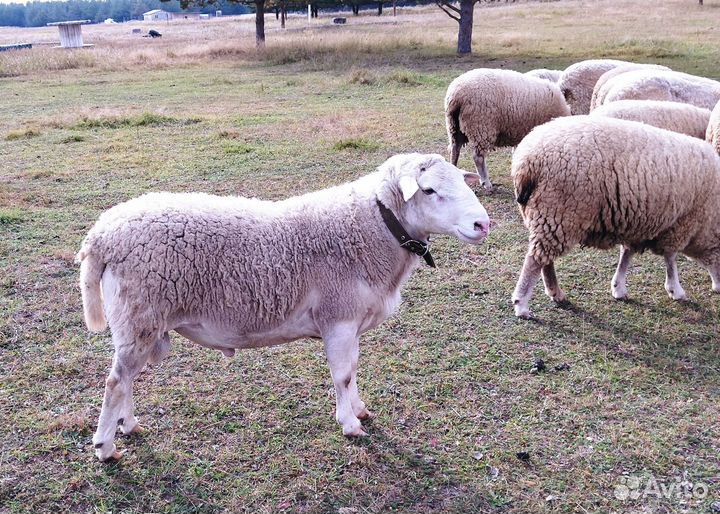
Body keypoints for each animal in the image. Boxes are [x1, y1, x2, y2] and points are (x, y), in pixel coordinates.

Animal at [76, 153, 491, 461]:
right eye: (429, 190)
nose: (482, 224)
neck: (374, 228)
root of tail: (100, 236)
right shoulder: (338, 318)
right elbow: (342, 375)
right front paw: (350, 425)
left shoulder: (351, 321)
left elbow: (353, 370)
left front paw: (359, 409)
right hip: (139, 314)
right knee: (116, 382)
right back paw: (106, 446)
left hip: (141, 322)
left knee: (126, 379)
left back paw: (129, 425)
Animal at [510, 116, 720, 318]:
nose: (719, 289)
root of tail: (526, 161)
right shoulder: (681, 223)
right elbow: (670, 258)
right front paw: (675, 290)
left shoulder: (638, 223)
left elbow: (626, 254)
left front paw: (618, 288)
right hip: (559, 213)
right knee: (535, 260)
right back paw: (522, 305)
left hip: (548, 217)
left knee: (546, 260)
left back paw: (556, 293)